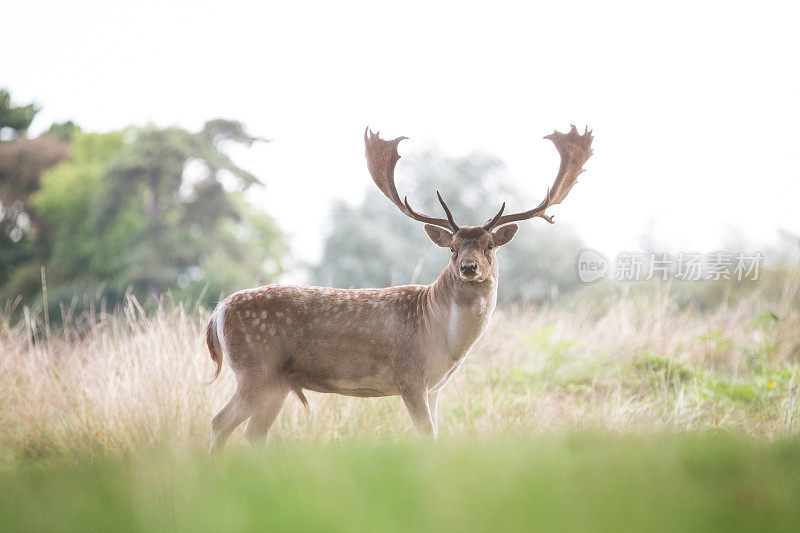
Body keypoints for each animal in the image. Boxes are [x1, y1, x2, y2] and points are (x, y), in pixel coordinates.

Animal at [206, 123, 592, 448]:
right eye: (452, 248)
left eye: (489, 246)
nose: (468, 267)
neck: (443, 337)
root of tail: (216, 314)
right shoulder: (410, 376)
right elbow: (427, 438)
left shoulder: (435, 387)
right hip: (256, 370)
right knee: (219, 421)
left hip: (278, 382)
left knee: (250, 433)